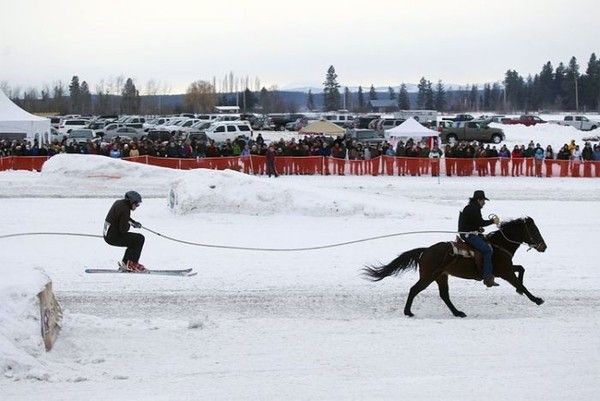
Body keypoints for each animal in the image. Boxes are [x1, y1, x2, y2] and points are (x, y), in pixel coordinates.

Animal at [364, 217, 548, 318]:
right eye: (534, 230)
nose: (543, 246)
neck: (498, 246)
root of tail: (426, 250)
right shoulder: (505, 272)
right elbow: (520, 283)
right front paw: (536, 299)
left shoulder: (505, 269)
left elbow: (521, 270)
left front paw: (521, 292)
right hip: (429, 276)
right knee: (414, 289)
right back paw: (408, 312)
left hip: (441, 276)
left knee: (444, 295)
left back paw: (458, 312)